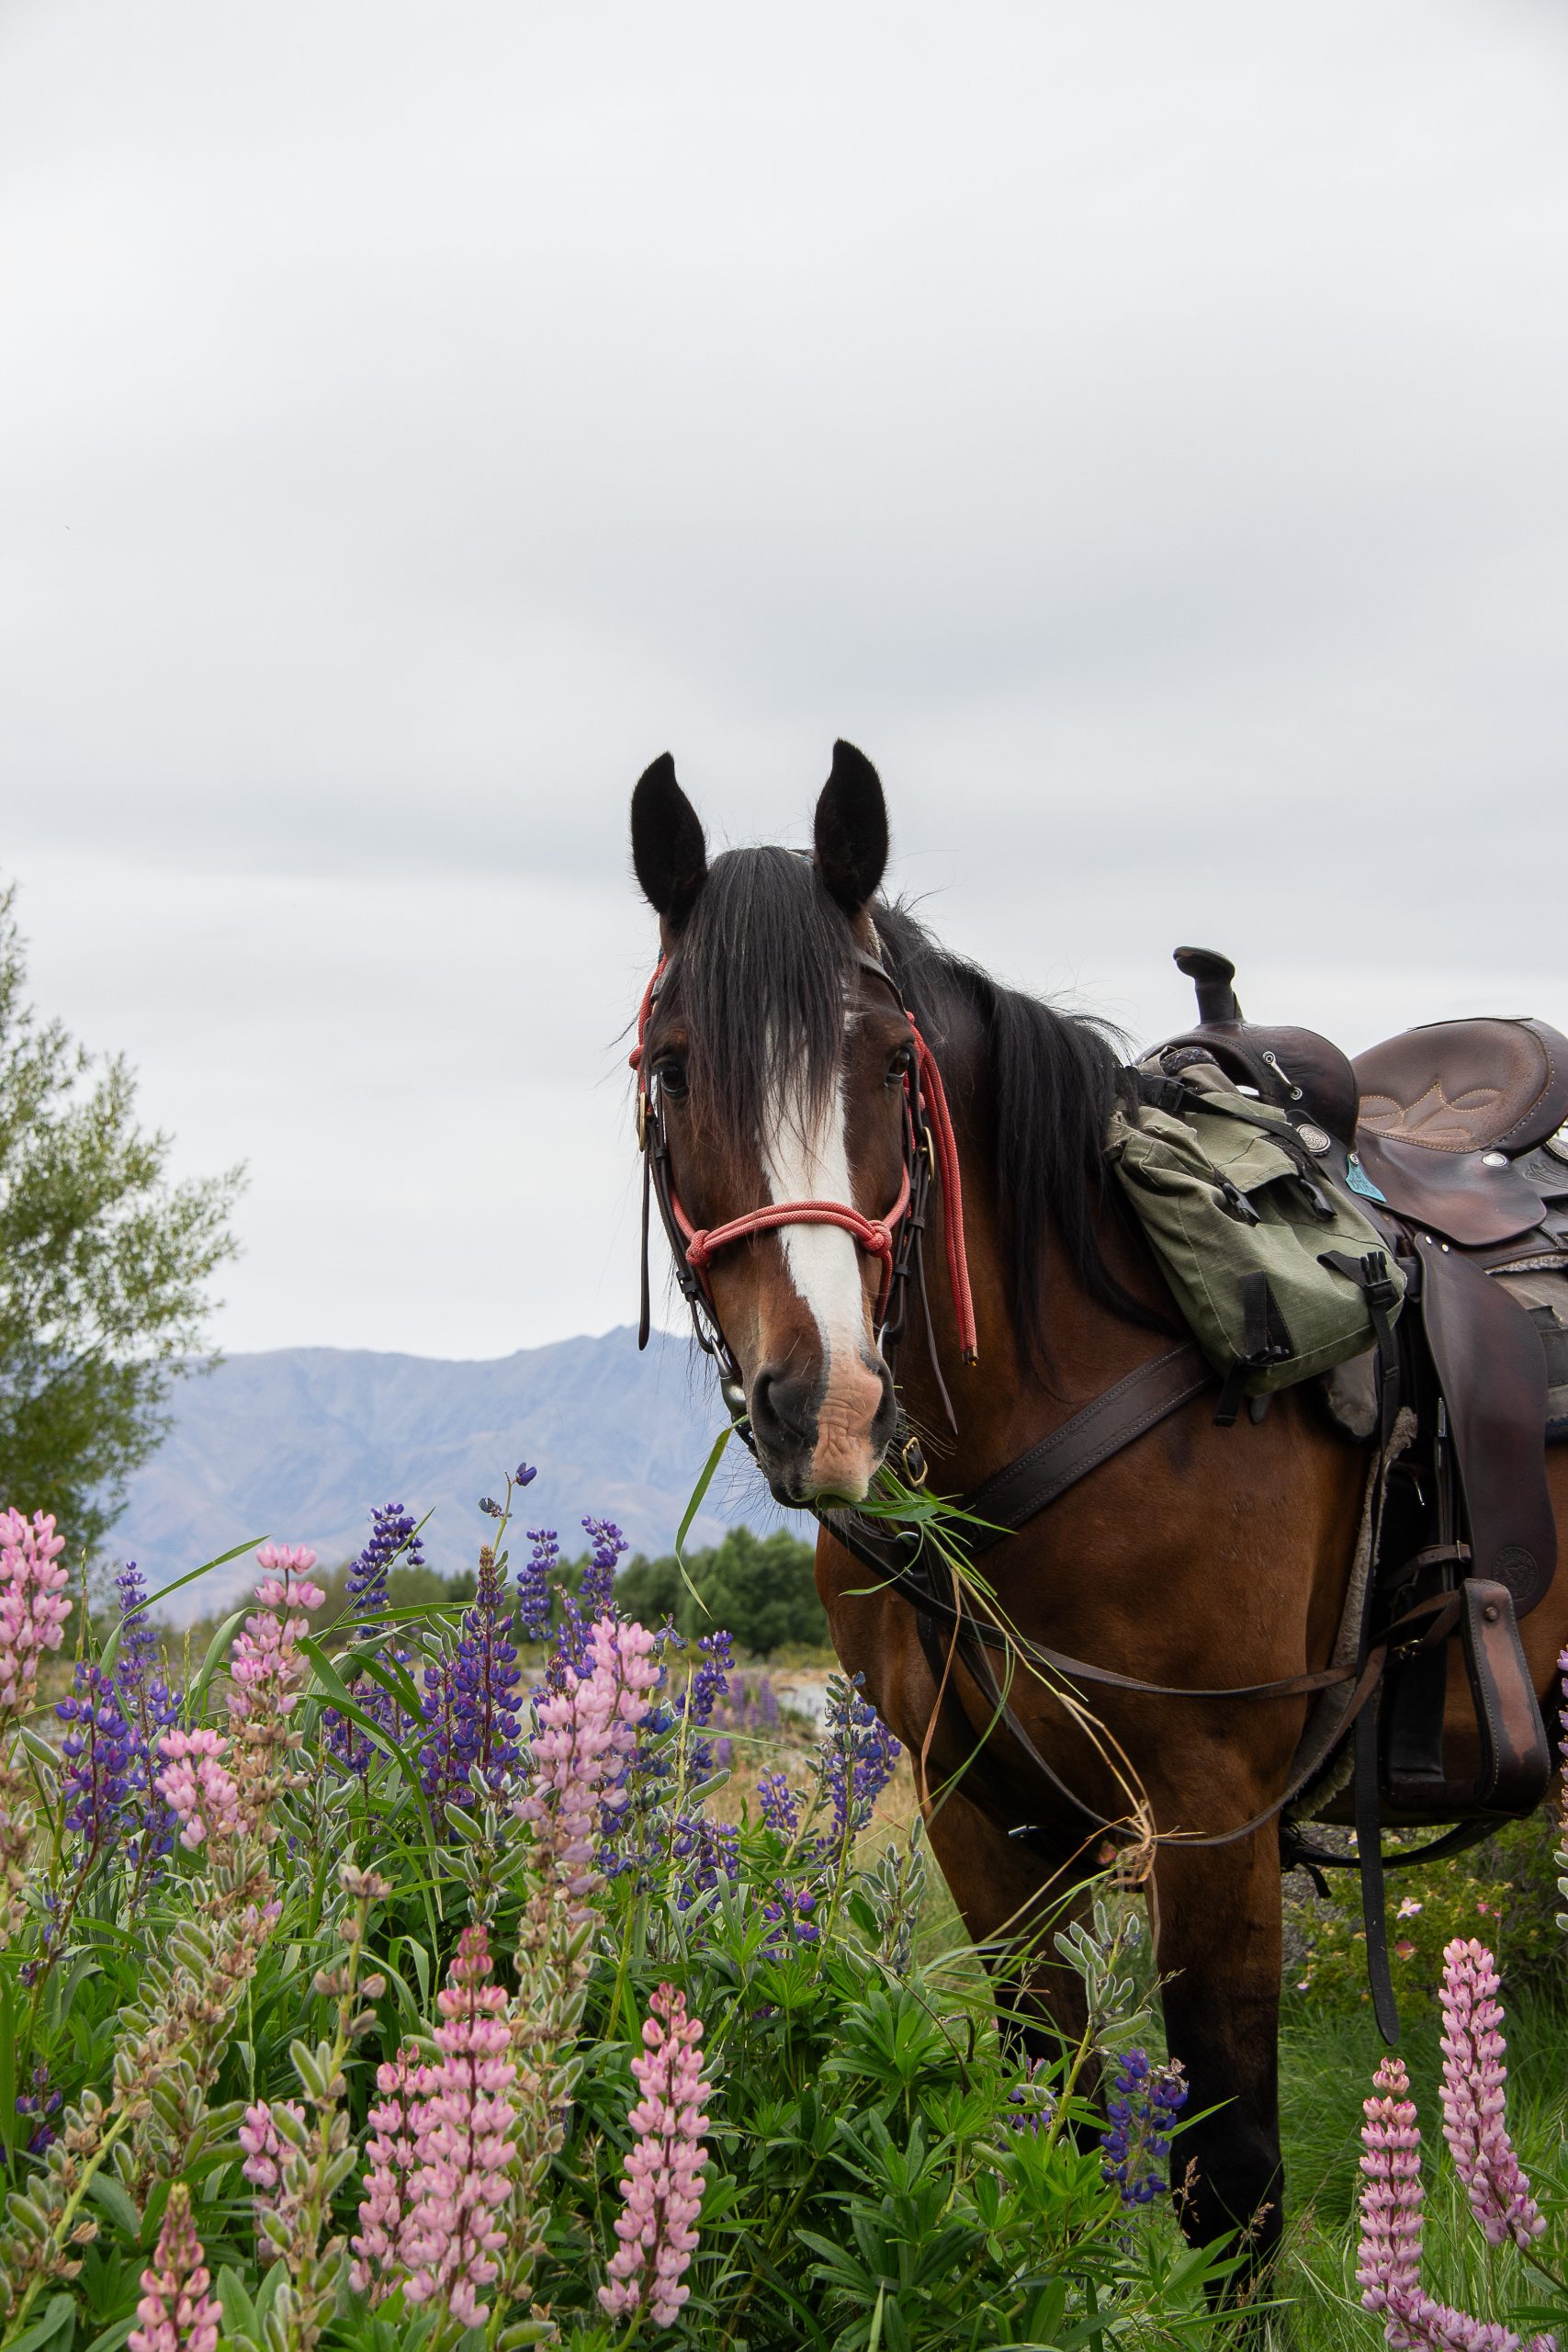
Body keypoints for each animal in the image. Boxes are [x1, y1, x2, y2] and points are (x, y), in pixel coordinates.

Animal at [626, 739, 1568, 2266]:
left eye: (889, 1064)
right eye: (672, 1064)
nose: (824, 1404)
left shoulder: (1212, 1810)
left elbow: (1229, 2177)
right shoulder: (978, 1816)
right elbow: (1049, 2125)